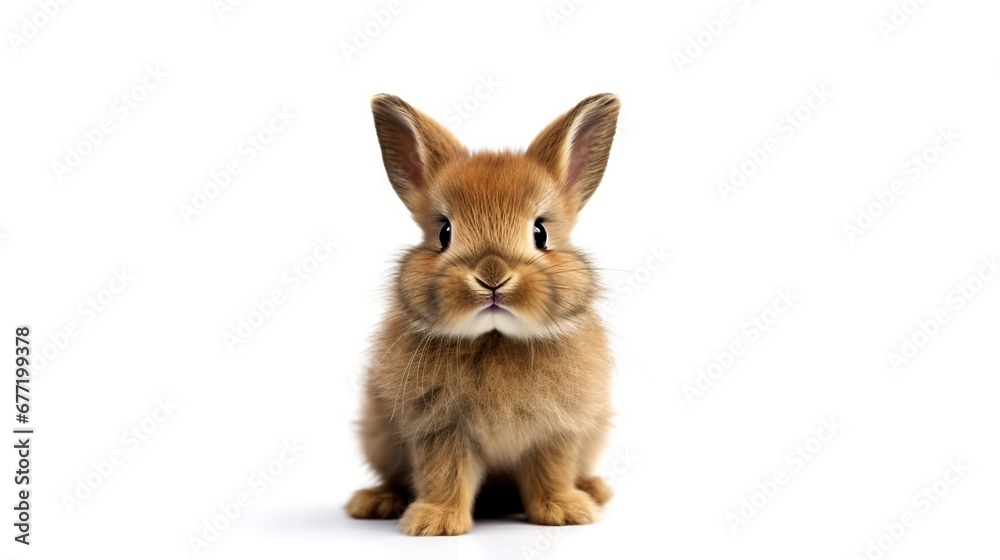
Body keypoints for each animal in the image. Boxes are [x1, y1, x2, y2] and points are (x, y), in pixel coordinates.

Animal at [346, 93, 620, 536]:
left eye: (540, 233)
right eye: (444, 232)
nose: (492, 277)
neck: (496, 338)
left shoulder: (557, 431)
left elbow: (552, 470)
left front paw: (564, 513)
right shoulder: (438, 428)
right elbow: (444, 474)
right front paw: (436, 523)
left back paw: (595, 491)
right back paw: (374, 502)